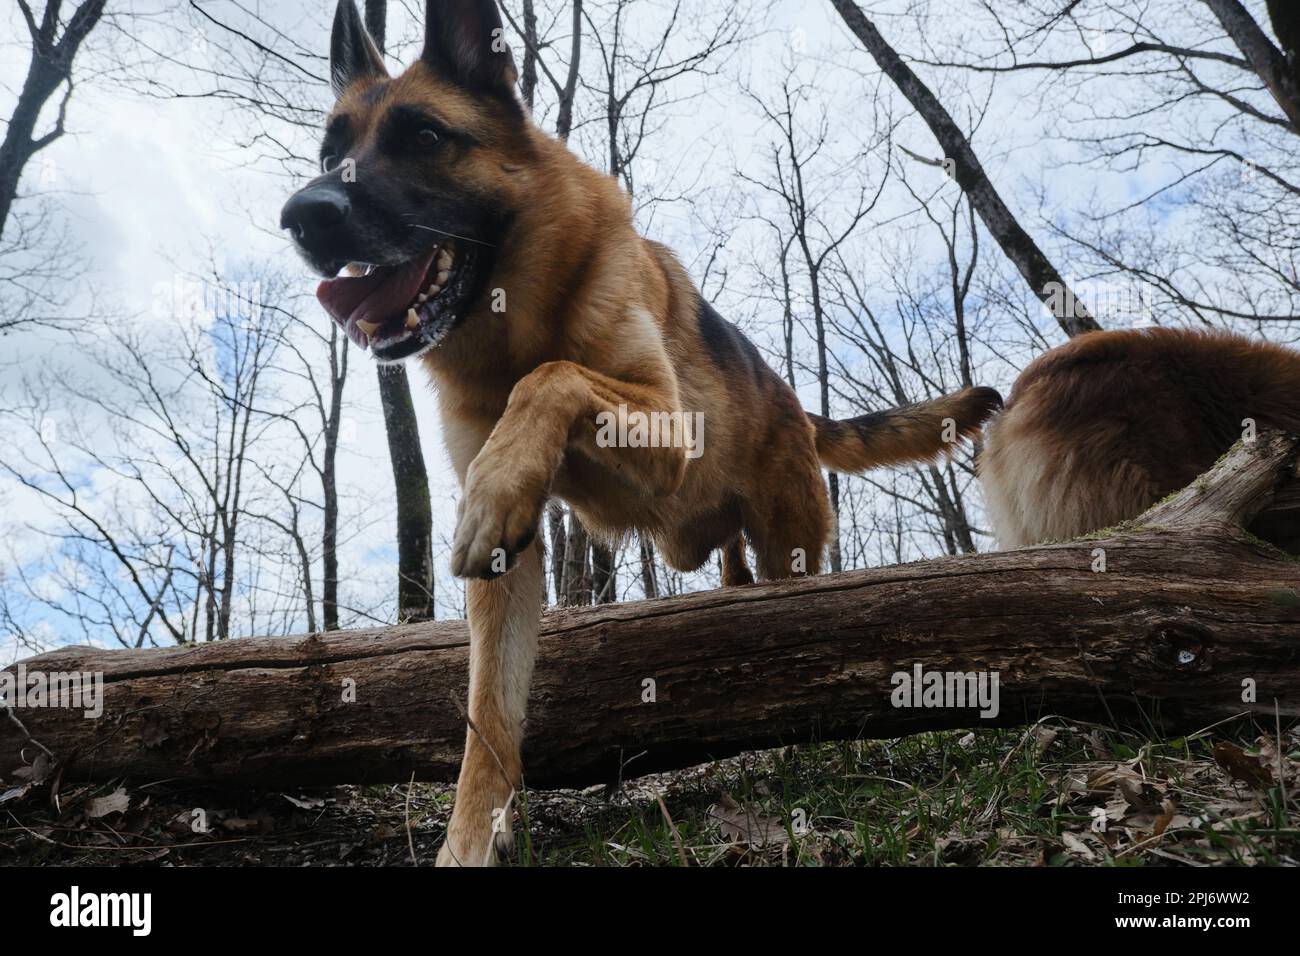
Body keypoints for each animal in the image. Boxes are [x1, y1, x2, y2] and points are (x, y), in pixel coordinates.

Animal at [279, 0, 998, 868]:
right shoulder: (512, 576)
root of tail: (793, 404)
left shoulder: (662, 426)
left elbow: (553, 376)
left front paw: (497, 486)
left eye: (423, 135)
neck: (515, 325)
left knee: (792, 607)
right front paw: (474, 836)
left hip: (788, 544)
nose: (304, 217)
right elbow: (490, 711)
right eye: (330, 151)